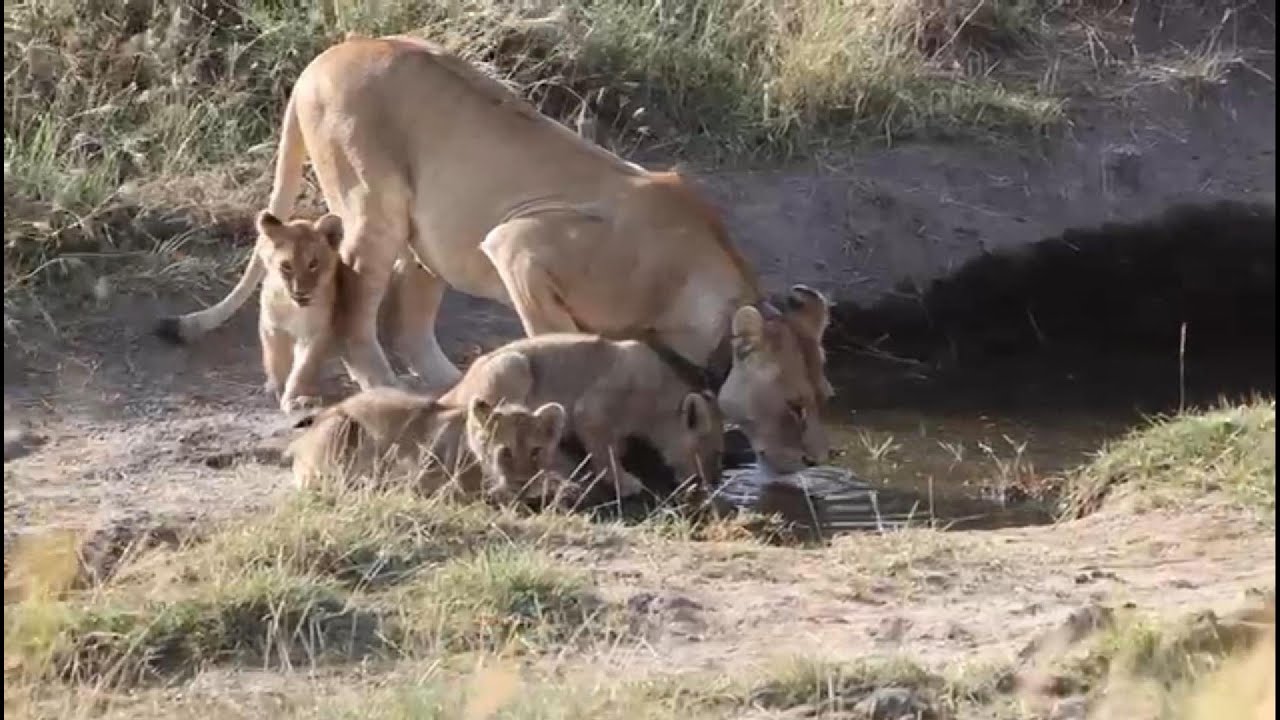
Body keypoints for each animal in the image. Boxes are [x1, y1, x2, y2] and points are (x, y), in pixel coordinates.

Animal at [154, 35, 834, 473]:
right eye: (795, 405)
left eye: (824, 395)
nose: (816, 459)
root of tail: (320, 61)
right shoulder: (520, 245)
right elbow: (556, 340)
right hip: (375, 205)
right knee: (353, 317)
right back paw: (390, 388)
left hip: (430, 240)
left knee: (410, 324)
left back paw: (447, 385)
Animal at [437, 332, 725, 499]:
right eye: (715, 451)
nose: (714, 482)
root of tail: (458, 385)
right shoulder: (590, 411)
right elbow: (605, 454)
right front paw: (625, 483)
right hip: (513, 364)